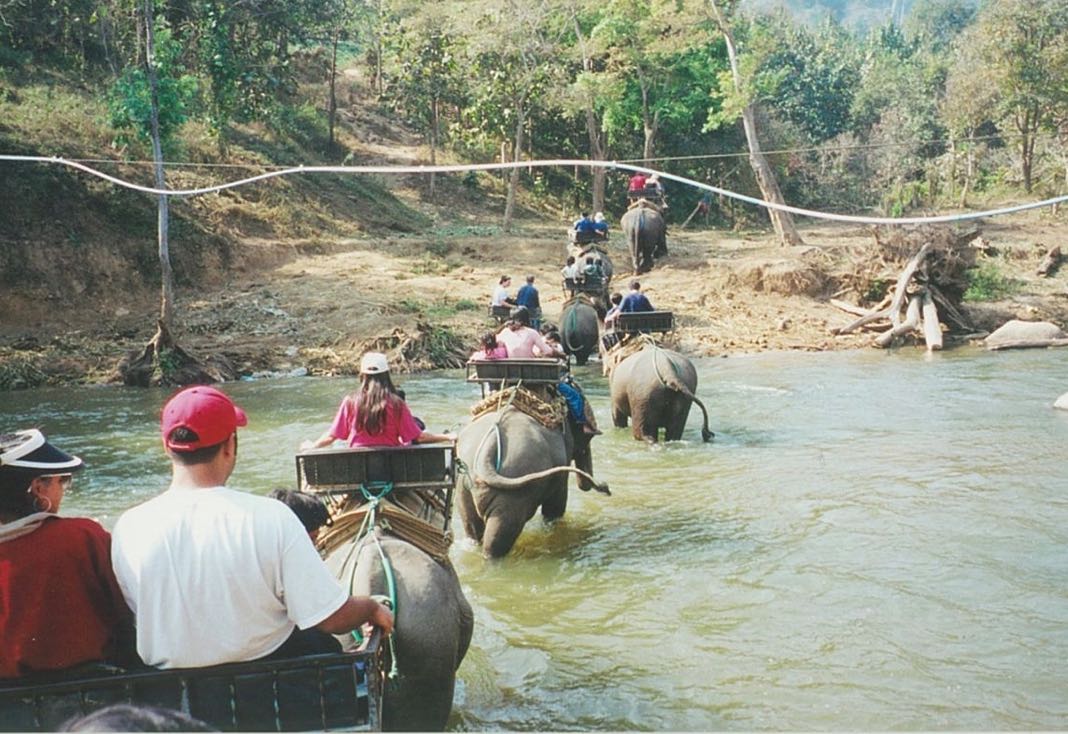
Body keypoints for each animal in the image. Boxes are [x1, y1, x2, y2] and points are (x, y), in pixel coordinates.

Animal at [457, 408, 610, 555]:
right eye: (588, 438)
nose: (606, 487)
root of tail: (488, 450)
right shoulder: (562, 467)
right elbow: (555, 506)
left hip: (465, 485)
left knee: (472, 527)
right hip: (513, 495)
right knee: (498, 538)